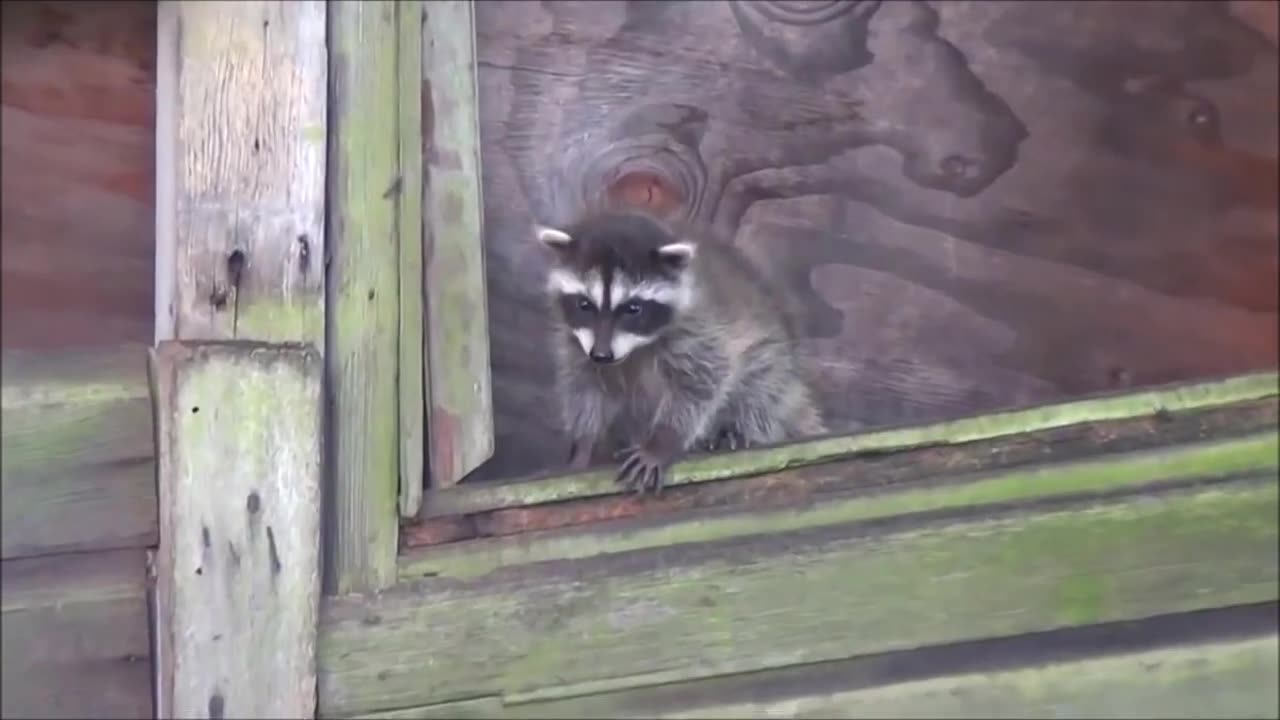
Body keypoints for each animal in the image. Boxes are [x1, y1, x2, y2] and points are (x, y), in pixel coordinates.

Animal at [535, 207, 824, 491]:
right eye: (584, 304)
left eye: (633, 308)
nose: (602, 355)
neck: (635, 349)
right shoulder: (575, 342)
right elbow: (583, 386)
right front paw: (584, 443)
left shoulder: (698, 327)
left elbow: (701, 381)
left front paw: (663, 440)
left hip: (772, 358)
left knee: (762, 389)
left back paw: (736, 429)